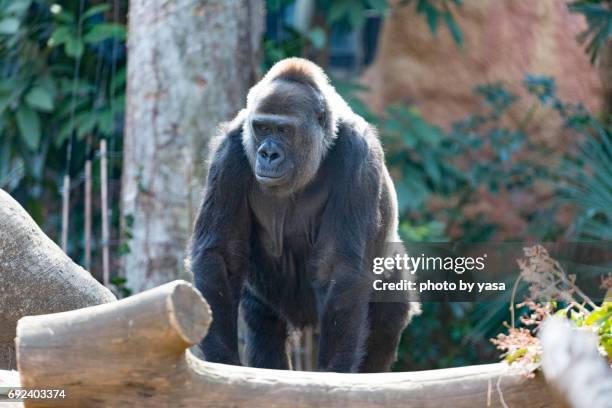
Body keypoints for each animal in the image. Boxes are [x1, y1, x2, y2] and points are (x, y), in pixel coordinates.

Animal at [191, 57, 420, 372]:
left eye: (283, 131)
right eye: (262, 128)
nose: (268, 154)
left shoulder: (358, 156)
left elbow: (339, 267)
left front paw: (333, 373)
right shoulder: (229, 151)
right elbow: (220, 256)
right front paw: (223, 360)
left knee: (387, 322)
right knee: (263, 322)